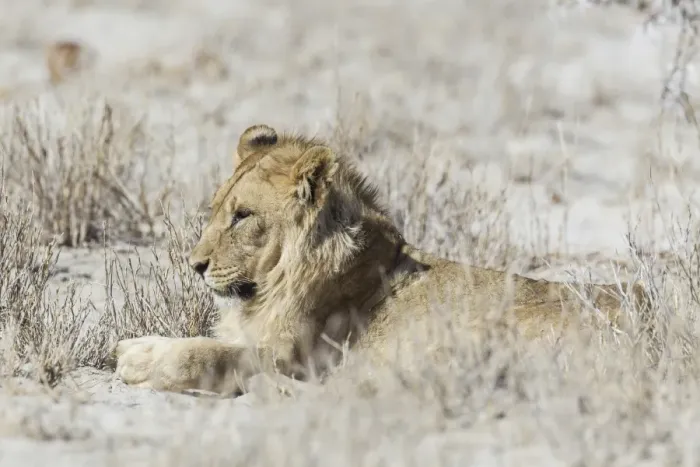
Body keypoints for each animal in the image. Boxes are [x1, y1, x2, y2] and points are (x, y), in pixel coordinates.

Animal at [113, 124, 653, 395]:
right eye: (216, 210)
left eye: (243, 217)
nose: (195, 265)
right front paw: (139, 349)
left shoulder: (300, 358)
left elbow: (210, 355)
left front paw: (147, 364)